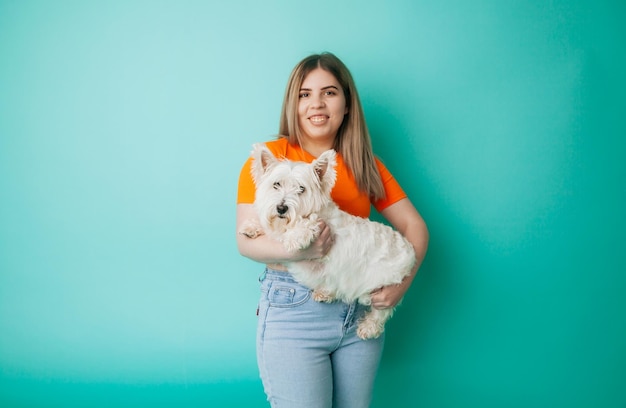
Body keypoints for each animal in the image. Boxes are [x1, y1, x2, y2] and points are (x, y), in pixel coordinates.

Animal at [239, 145, 414, 340]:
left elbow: (307, 224)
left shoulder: (320, 224)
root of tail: (410, 249)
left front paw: (295, 237)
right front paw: (251, 227)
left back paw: (368, 327)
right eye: (276, 184)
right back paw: (325, 293)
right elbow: (270, 229)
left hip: (382, 286)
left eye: (301, 189)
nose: (282, 208)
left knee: (381, 311)